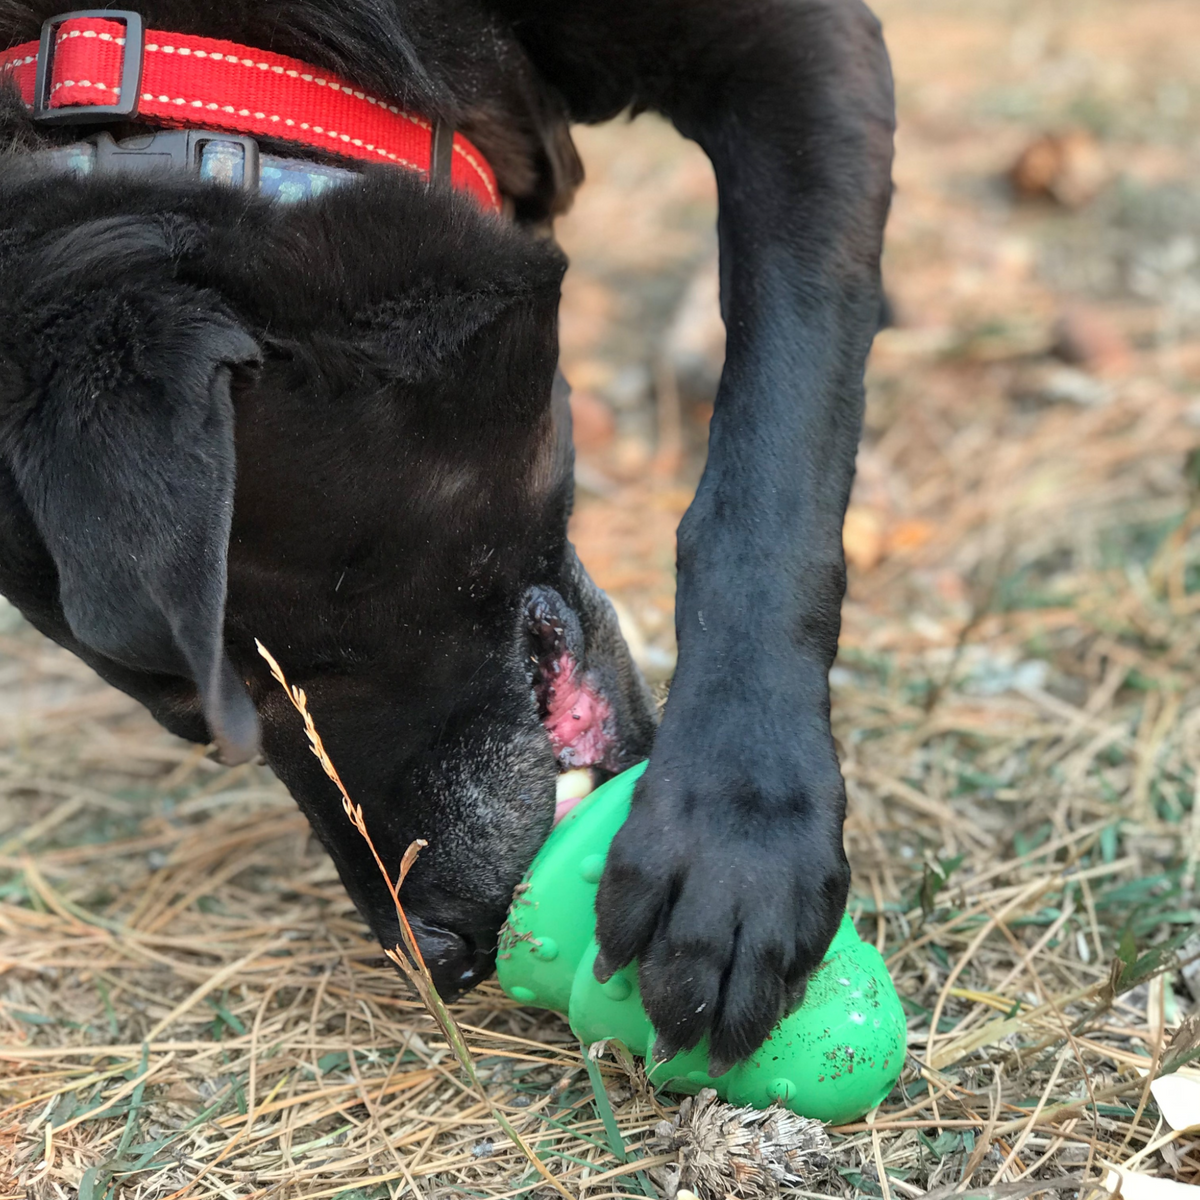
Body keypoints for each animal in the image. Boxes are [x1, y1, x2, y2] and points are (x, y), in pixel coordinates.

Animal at [0, 0, 892, 1070]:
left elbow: (767, 467)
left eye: (261, 665)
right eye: (192, 718)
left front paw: (737, 828)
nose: (429, 952)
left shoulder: (796, 54)